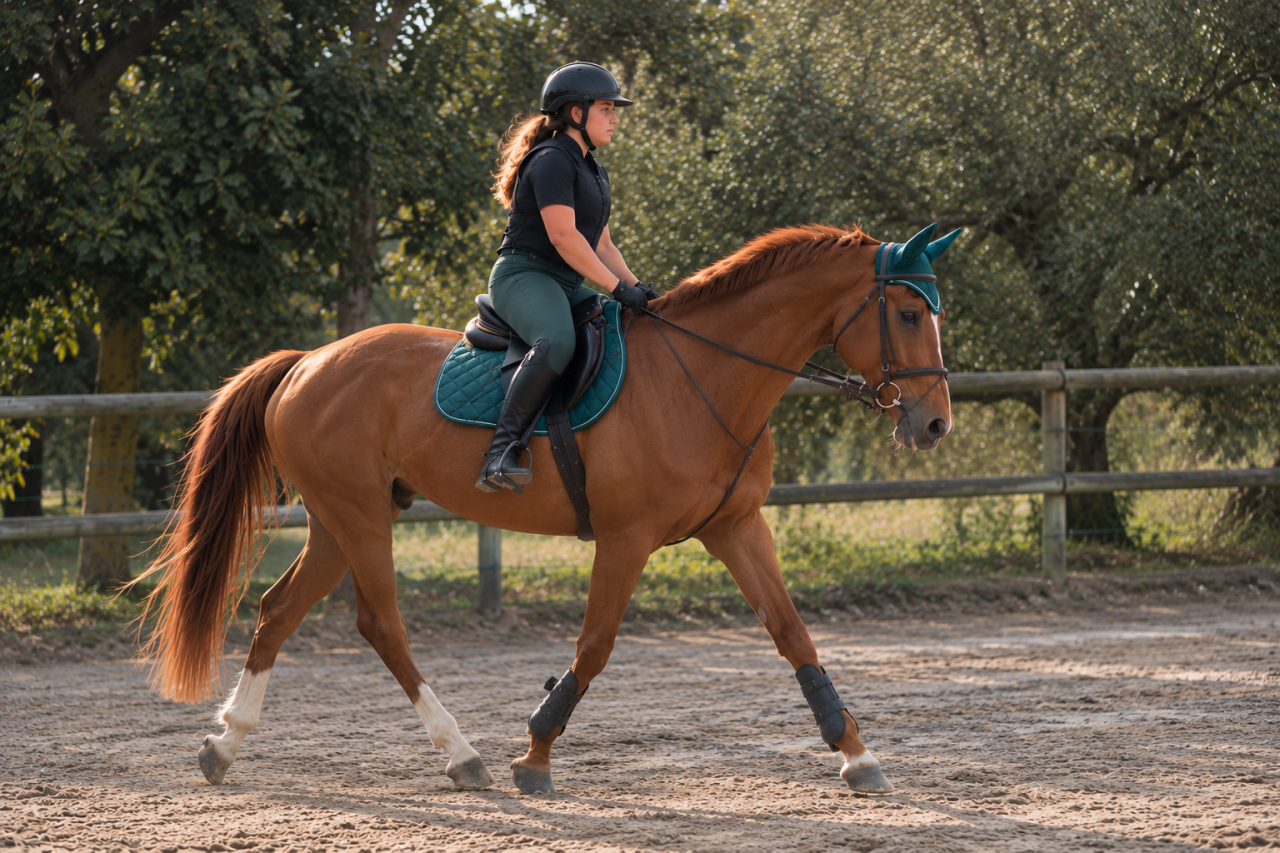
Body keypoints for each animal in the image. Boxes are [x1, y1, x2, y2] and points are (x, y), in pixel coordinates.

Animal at [136, 222, 955, 796]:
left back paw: (225, 745)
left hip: (342, 520)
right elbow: (593, 647)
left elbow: (793, 634)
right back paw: (461, 755)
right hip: (359, 517)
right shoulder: (625, 539)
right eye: (910, 313)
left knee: (279, 610)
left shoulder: (736, 527)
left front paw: (857, 754)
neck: (705, 375)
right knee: (381, 623)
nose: (935, 425)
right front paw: (533, 755)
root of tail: (306, 362)